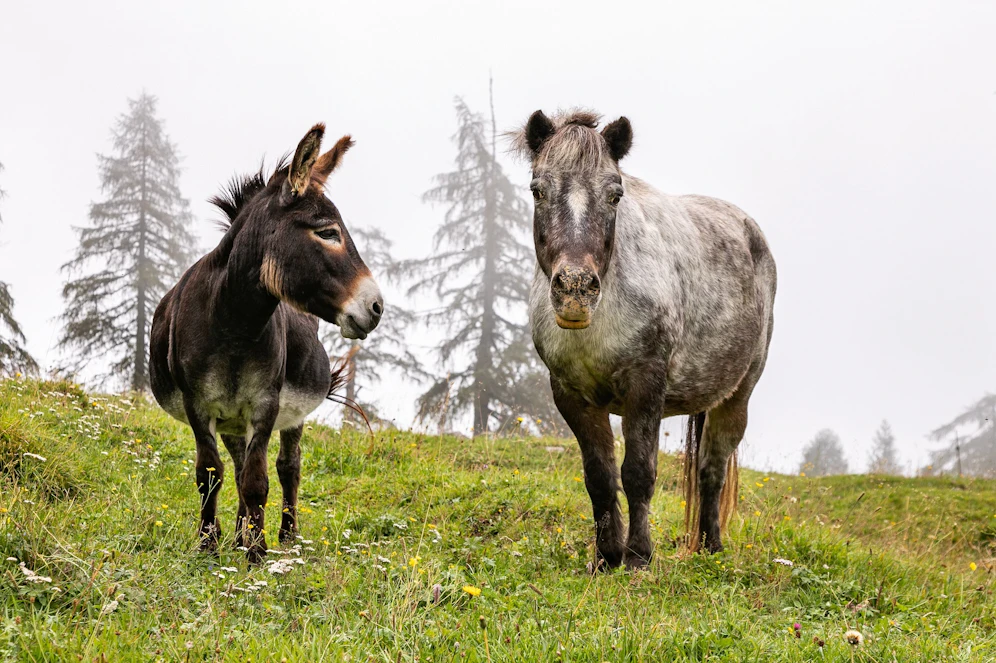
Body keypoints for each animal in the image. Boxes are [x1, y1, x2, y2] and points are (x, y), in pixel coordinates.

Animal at [150, 124, 383, 562]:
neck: (234, 324)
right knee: (238, 466)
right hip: (230, 420)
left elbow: (258, 481)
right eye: (328, 232)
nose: (376, 308)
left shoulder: (266, 404)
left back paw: (285, 536)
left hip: (288, 415)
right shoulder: (198, 406)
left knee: (287, 466)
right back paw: (237, 534)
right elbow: (211, 476)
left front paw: (257, 555)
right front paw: (210, 546)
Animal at [512, 110, 776, 569]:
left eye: (615, 195)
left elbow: (637, 473)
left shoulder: (645, 385)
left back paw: (712, 547)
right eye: (537, 190)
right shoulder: (572, 395)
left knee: (711, 470)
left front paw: (637, 556)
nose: (576, 288)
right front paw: (606, 557)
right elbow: (599, 477)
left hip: (737, 396)